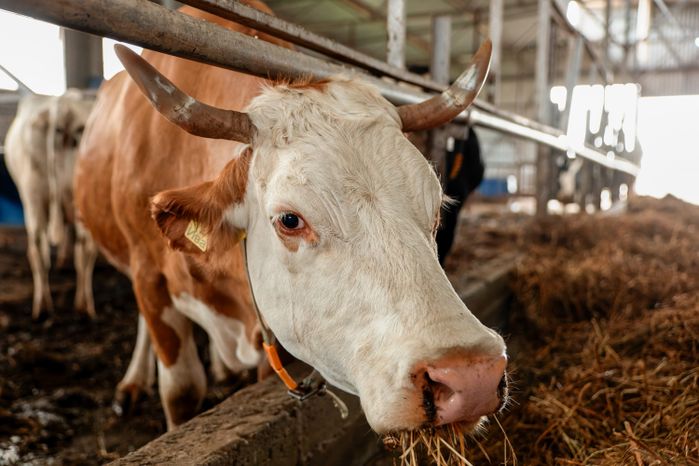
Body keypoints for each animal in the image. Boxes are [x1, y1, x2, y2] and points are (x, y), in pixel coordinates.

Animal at [5, 89, 97, 319]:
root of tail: (62, 106)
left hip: (33, 196)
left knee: (39, 247)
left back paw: (46, 306)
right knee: (82, 247)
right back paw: (82, 306)